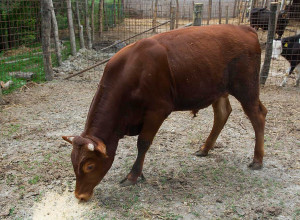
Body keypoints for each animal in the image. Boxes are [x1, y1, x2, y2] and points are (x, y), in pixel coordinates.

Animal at [62, 24, 268, 201]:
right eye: (72, 162)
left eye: (89, 165)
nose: (80, 195)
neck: (132, 71)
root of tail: (244, 28)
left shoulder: (158, 110)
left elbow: (143, 143)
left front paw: (133, 175)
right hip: (217, 89)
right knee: (223, 114)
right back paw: (205, 149)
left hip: (246, 87)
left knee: (258, 115)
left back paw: (257, 159)